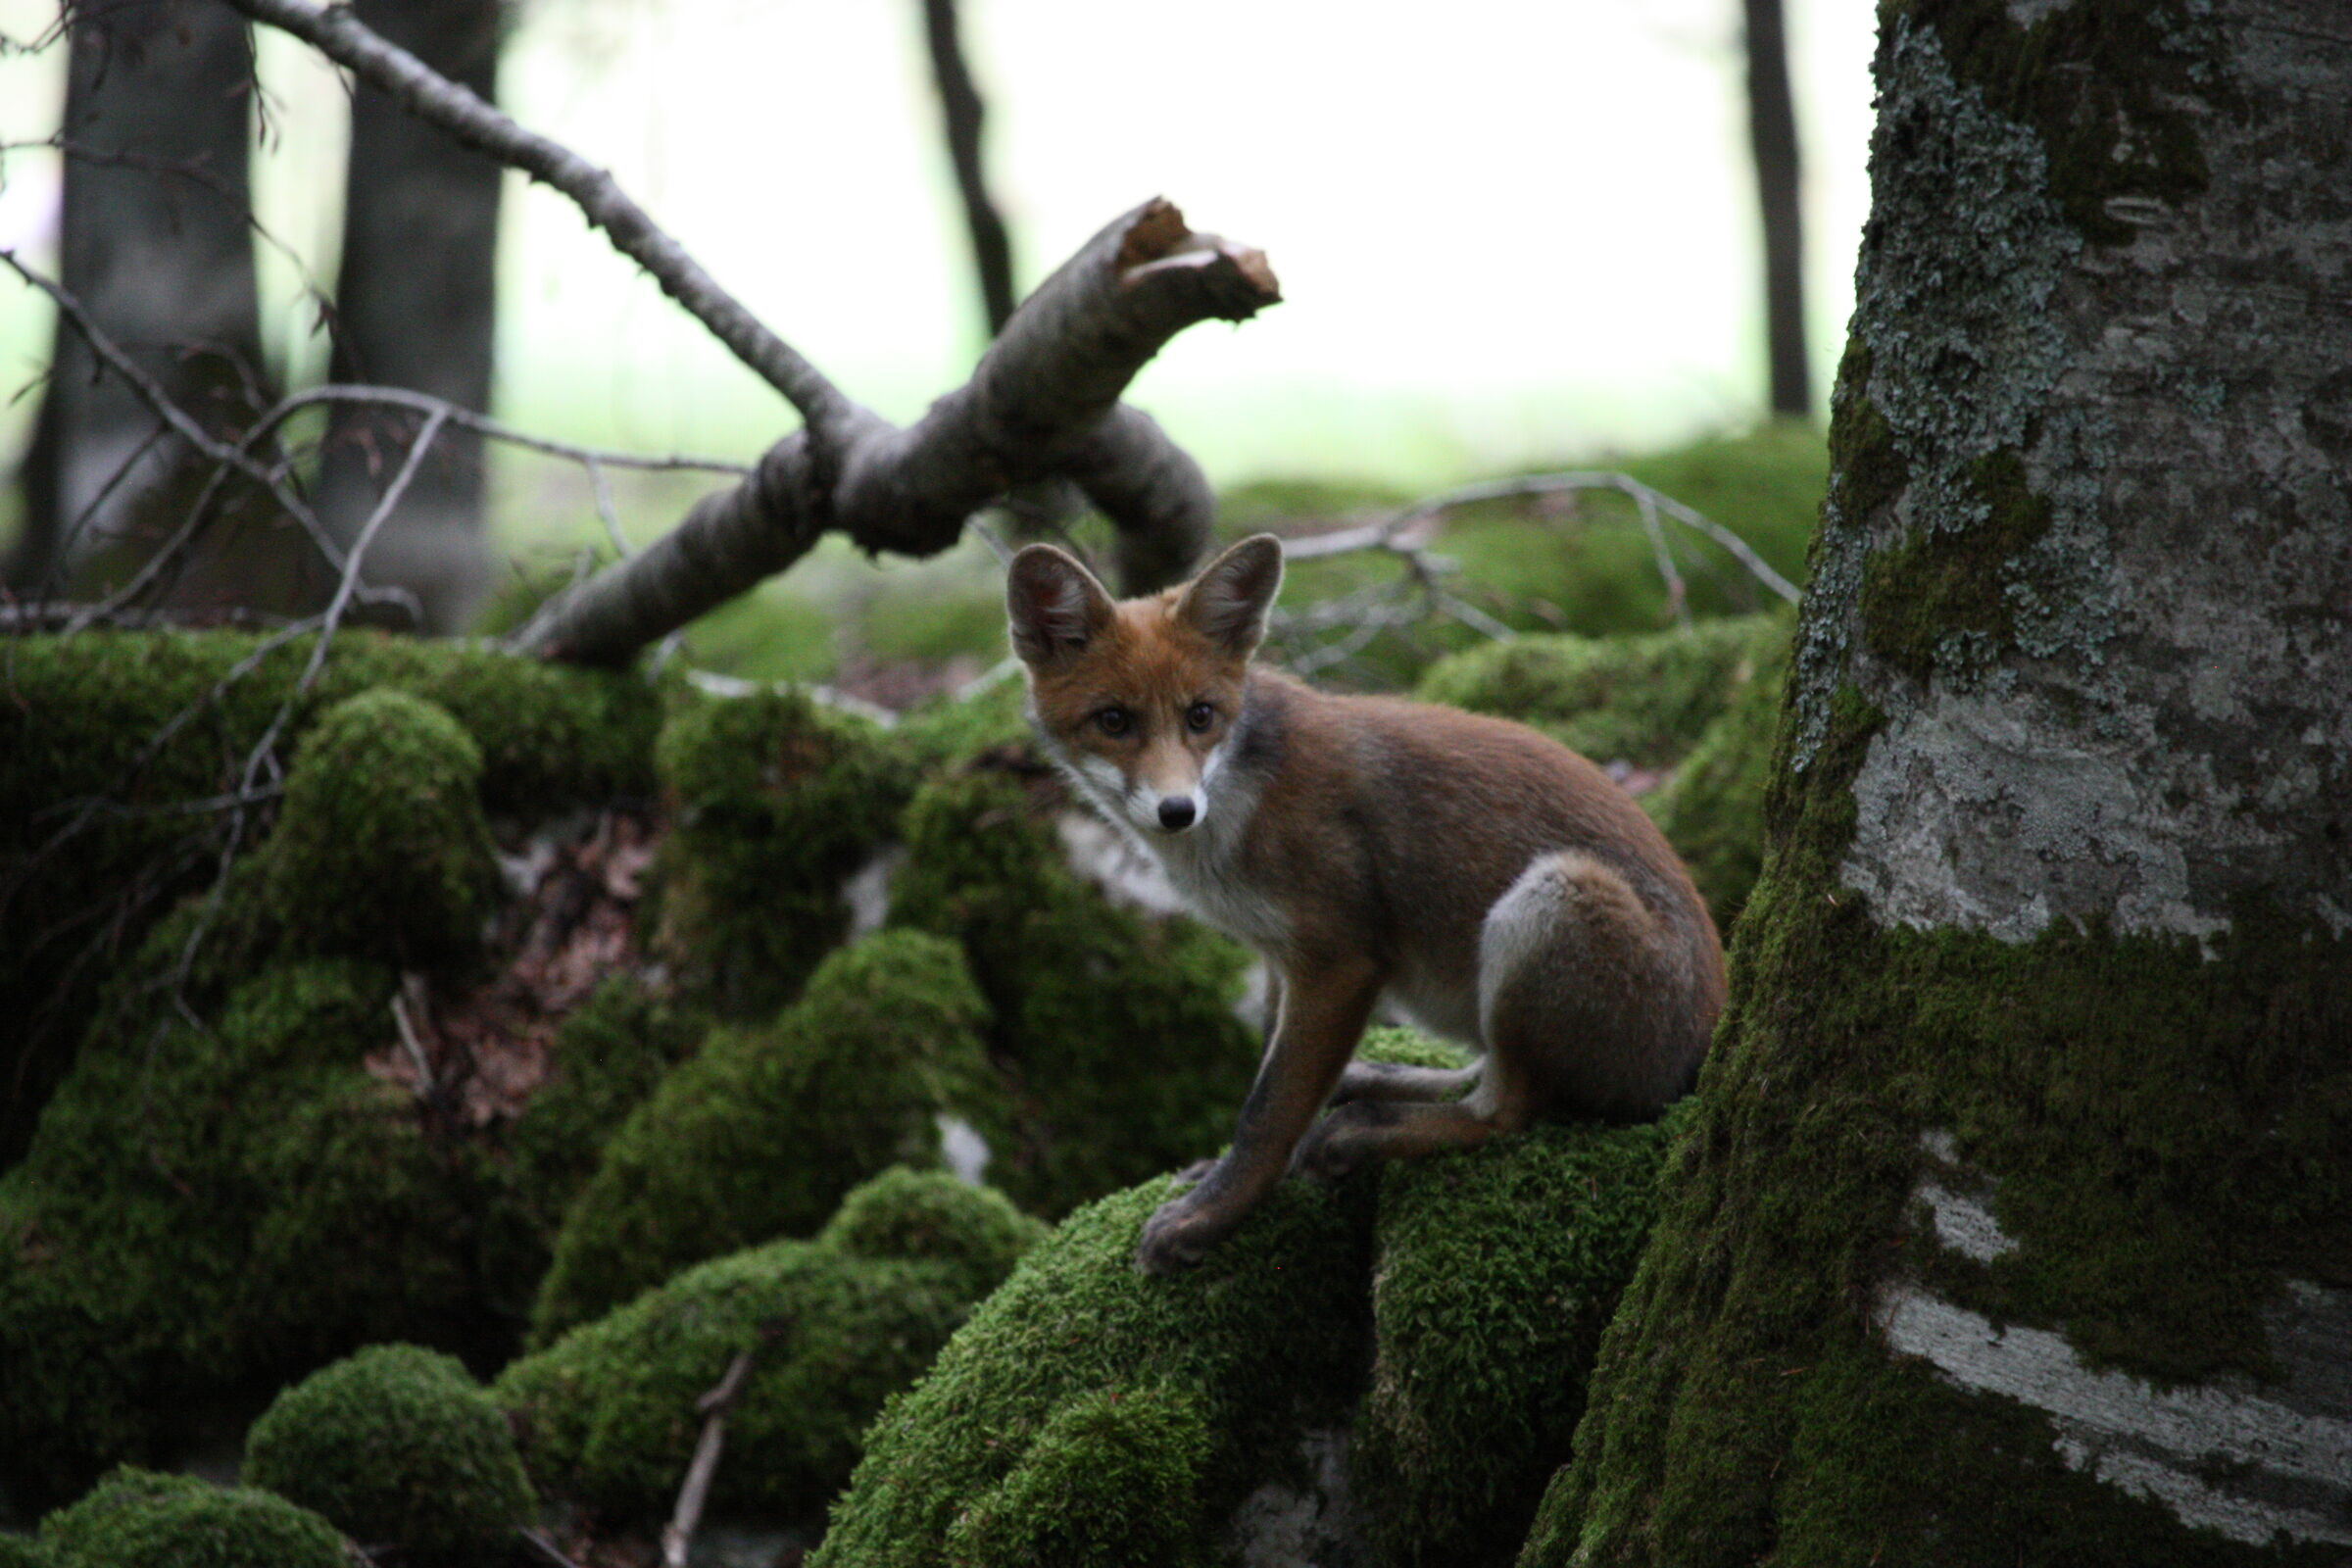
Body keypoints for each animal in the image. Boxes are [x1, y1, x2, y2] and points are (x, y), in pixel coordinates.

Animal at [1005, 533, 1726, 1275]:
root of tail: (1707, 1044)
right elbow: (1268, 1078)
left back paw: (1363, 1130)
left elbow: (1267, 1113)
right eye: (1114, 721)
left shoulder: (1339, 961)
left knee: (1503, 1111)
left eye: (1200, 716)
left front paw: (1209, 1217)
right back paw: (1373, 1083)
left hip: (1550, 900)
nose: (1177, 810)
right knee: (1480, 1074)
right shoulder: (1282, 959)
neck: (1240, 806)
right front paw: (1216, 1173)